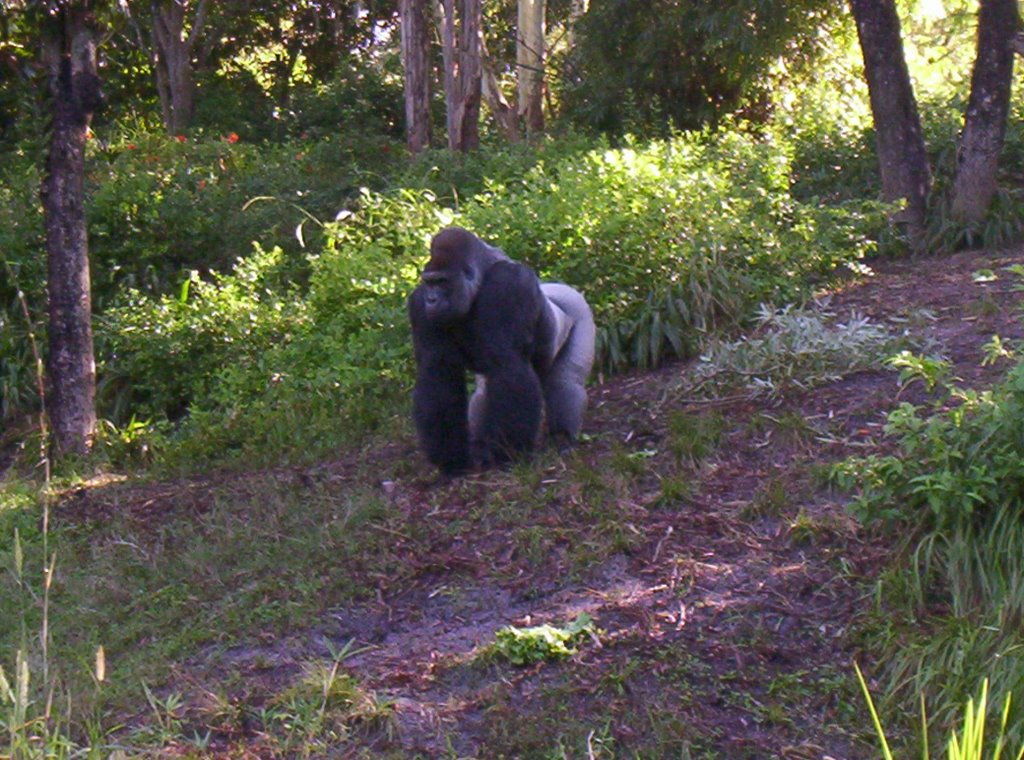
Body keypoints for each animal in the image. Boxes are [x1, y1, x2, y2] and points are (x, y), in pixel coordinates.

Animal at [407, 227, 598, 475]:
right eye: (429, 283)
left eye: (442, 281)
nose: (431, 299)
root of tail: (554, 287)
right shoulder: (418, 305)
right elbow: (437, 371)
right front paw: (451, 457)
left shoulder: (508, 283)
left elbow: (507, 363)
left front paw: (508, 452)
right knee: (483, 392)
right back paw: (480, 447)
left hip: (578, 307)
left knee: (565, 380)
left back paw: (562, 438)